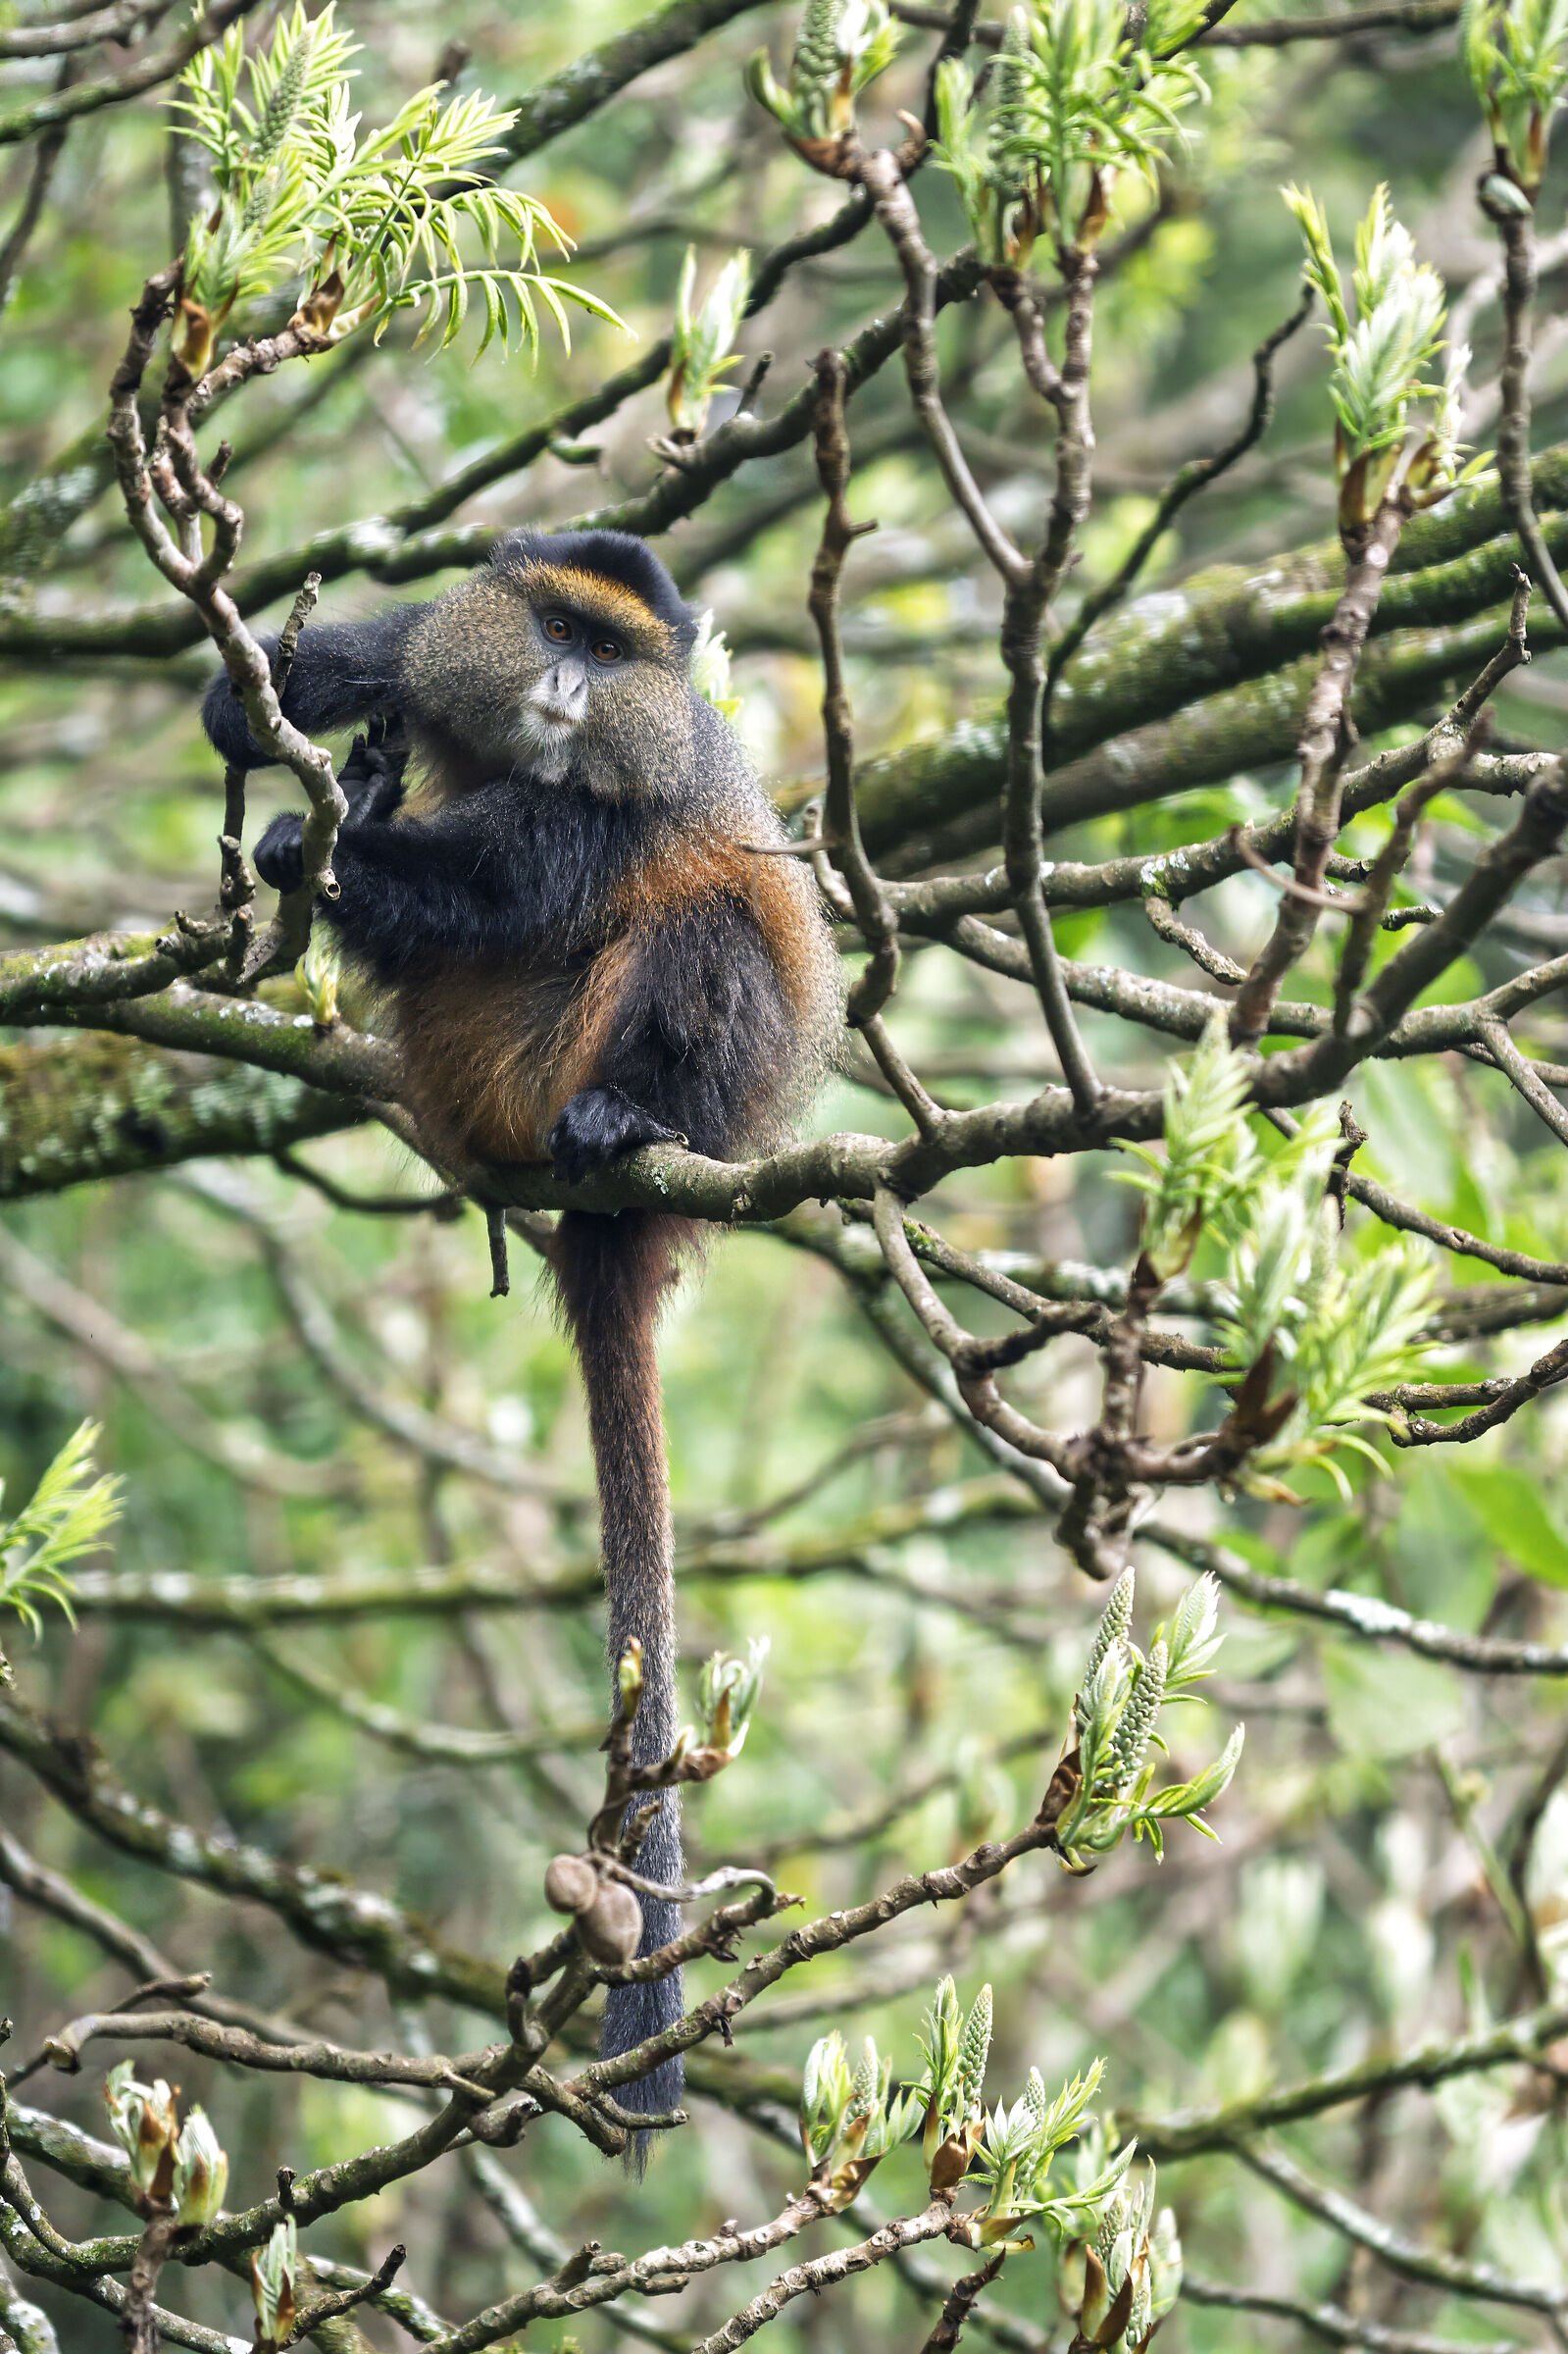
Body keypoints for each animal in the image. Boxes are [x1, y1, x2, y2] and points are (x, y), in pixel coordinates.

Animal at [203, 529, 840, 2137]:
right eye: (553, 628)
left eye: (612, 657)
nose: (562, 688)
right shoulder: (438, 642)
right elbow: (304, 686)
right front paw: (293, 752)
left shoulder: (602, 816)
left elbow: (513, 883)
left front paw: (328, 842)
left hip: (633, 1071)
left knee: (705, 923)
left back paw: (623, 1121)